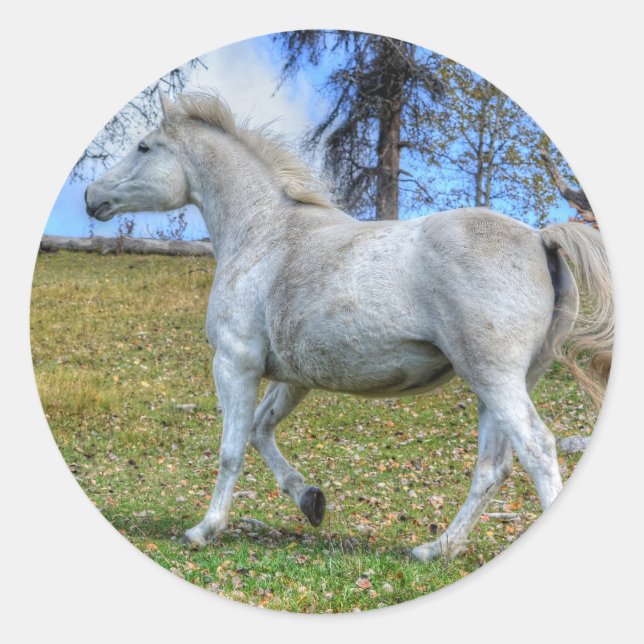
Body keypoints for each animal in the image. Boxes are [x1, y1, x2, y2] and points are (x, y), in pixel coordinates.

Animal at [85, 91, 613, 561]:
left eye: (144, 147)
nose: (91, 195)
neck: (263, 235)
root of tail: (540, 238)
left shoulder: (235, 363)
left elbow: (232, 448)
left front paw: (204, 530)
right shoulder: (292, 378)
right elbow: (260, 431)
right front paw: (310, 500)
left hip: (494, 377)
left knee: (537, 450)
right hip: (500, 383)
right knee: (492, 467)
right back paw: (434, 550)